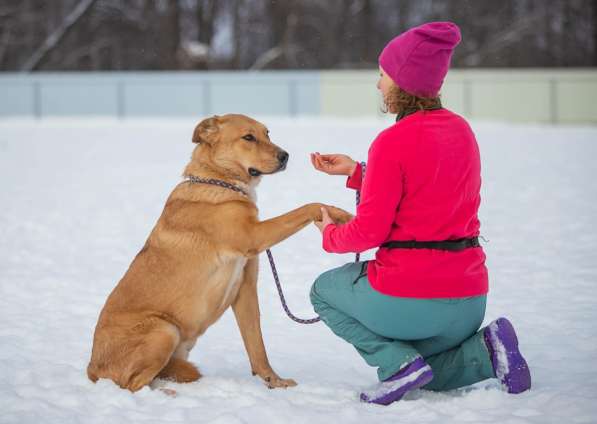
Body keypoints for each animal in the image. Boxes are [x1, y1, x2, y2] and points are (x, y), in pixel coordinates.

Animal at [86, 112, 352, 390]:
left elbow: (257, 345)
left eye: (267, 133)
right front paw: (339, 214)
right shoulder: (254, 235)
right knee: (132, 384)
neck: (222, 182)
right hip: (164, 330)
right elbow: (306, 207)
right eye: (248, 137)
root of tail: (91, 367)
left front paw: (274, 381)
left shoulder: (245, 288)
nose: (285, 155)